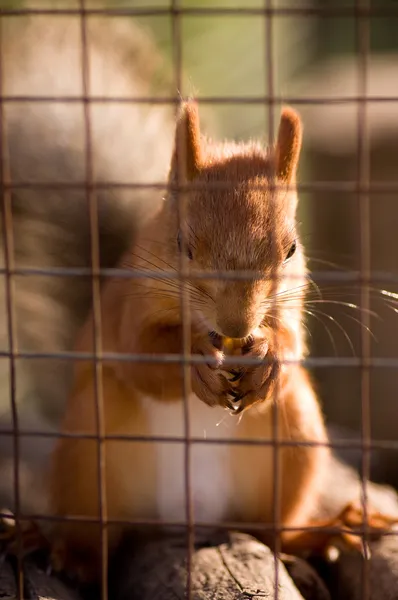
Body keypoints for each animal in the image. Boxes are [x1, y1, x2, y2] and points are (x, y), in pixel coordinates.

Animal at [45, 102, 396, 580]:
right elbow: (141, 354)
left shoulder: (292, 306)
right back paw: (68, 556)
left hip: (295, 442)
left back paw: (323, 533)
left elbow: (293, 344)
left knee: (274, 531)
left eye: (291, 249)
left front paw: (270, 357)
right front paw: (193, 359)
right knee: (94, 533)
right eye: (182, 245)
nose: (236, 325)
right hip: (85, 453)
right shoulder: (125, 309)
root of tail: (189, 515)